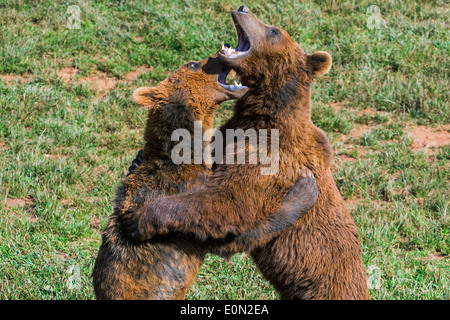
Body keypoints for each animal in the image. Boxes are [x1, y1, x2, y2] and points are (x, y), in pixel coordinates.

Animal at [122, 5, 370, 300]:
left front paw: (138, 218)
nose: (243, 8)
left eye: (273, 30)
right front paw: (138, 160)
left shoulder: (268, 159)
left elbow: (227, 202)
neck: (263, 115)